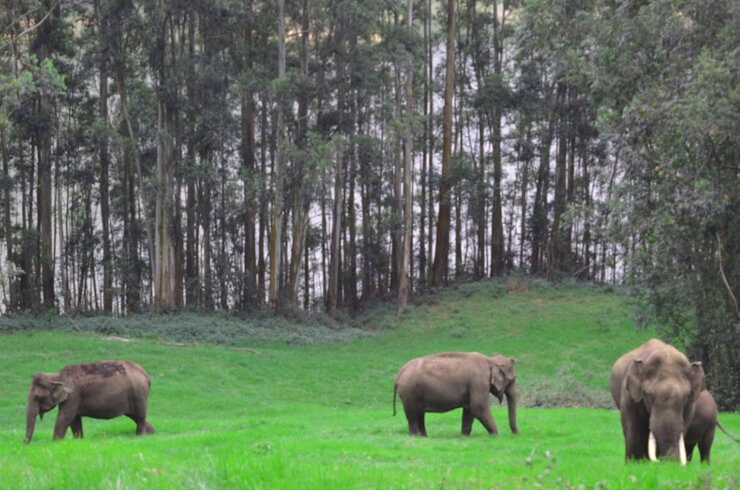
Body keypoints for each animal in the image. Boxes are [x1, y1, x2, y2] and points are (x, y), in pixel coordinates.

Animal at [24, 360, 155, 444]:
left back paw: (139, 437)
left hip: (139, 394)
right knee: (136, 417)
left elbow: (65, 418)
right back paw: (151, 433)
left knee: (140, 417)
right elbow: (75, 421)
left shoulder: (73, 396)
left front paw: (55, 443)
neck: (57, 376)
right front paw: (79, 441)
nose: (24, 445)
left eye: (37, 397)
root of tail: (145, 374)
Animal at [608, 338, 704, 466]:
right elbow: (632, 424)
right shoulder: (629, 395)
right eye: (648, 395)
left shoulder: (690, 405)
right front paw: (634, 463)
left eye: (685, 397)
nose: (667, 462)